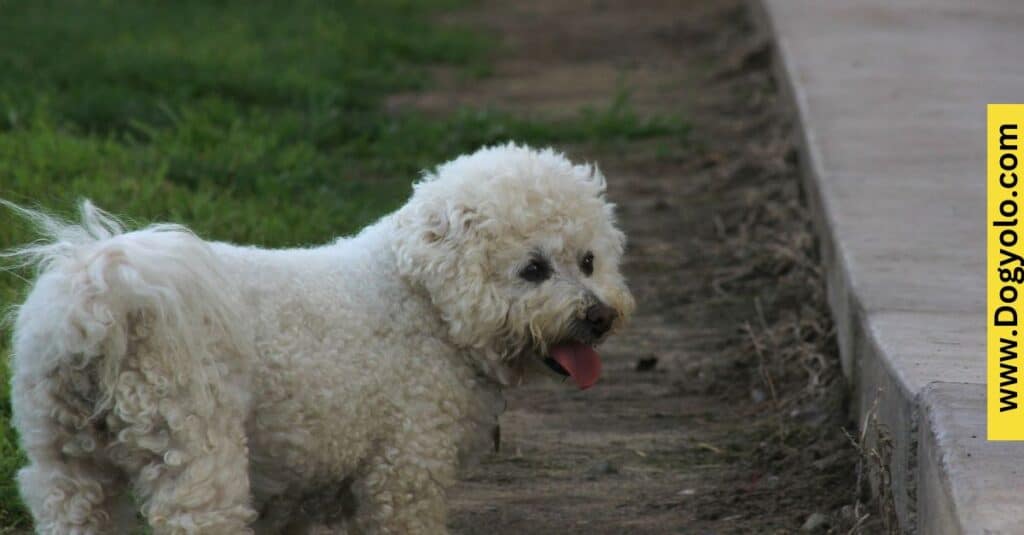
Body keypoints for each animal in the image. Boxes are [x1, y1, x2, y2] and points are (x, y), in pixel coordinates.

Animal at [6, 142, 630, 532]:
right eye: (533, 269)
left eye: (589, 261)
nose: (600, 317)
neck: (420, 301)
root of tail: (98, 297)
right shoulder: (404, 473)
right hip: (194, 452)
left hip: (66, 465)